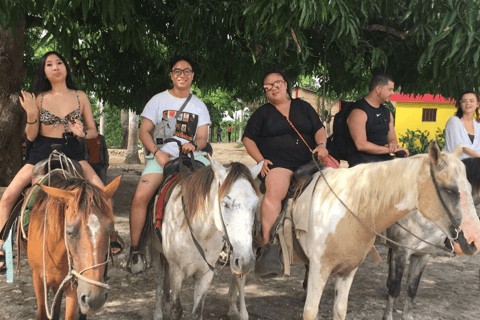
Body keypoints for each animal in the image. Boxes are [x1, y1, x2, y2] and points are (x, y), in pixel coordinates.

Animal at [151, 159, 260, 318]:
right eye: (226, 204)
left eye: (256, 204)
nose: (245, 261)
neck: (199, 233)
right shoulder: (176, 271)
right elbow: (176, 310)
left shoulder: (206, 274)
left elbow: (197, 311)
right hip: (157, 254)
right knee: (159, 280)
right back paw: (158, 313)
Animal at [228, 142, 480, 320]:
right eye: (450, 190)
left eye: (469, 187)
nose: (472, 241)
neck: (350, 209)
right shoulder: (323, 268)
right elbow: (311, 311)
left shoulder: (351, 270)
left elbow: (406, 290)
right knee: (239, 274)